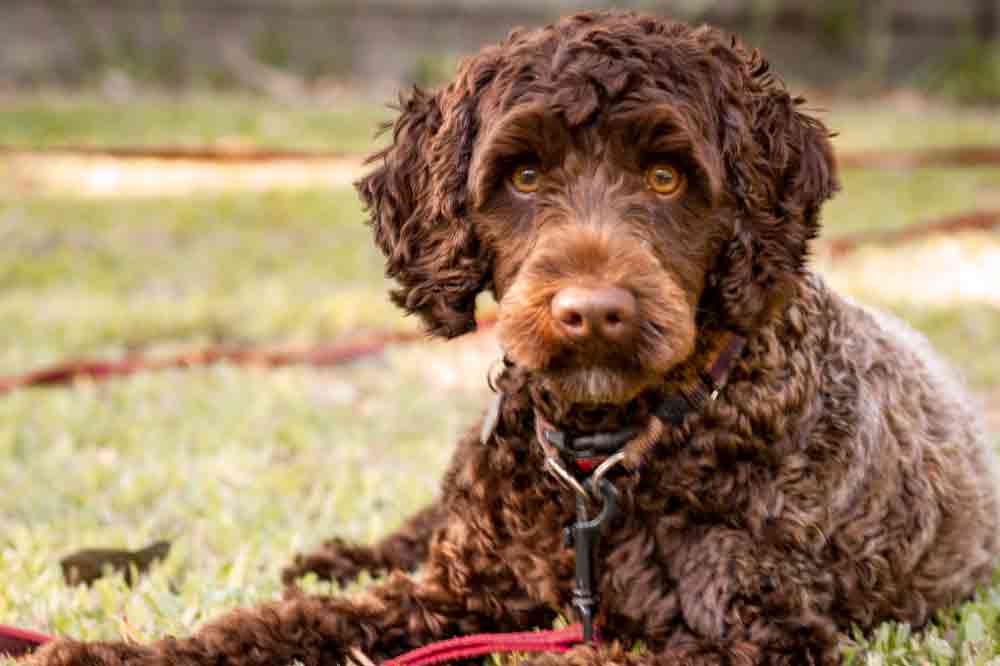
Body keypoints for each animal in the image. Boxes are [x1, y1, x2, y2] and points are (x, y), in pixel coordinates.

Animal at [31, 10, 1000, 664]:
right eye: (524, 175)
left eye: (666, 176)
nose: (592, 311)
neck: (608, 457)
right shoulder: (457, 593)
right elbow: (285, 627)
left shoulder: (757, 635)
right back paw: (329, 556)